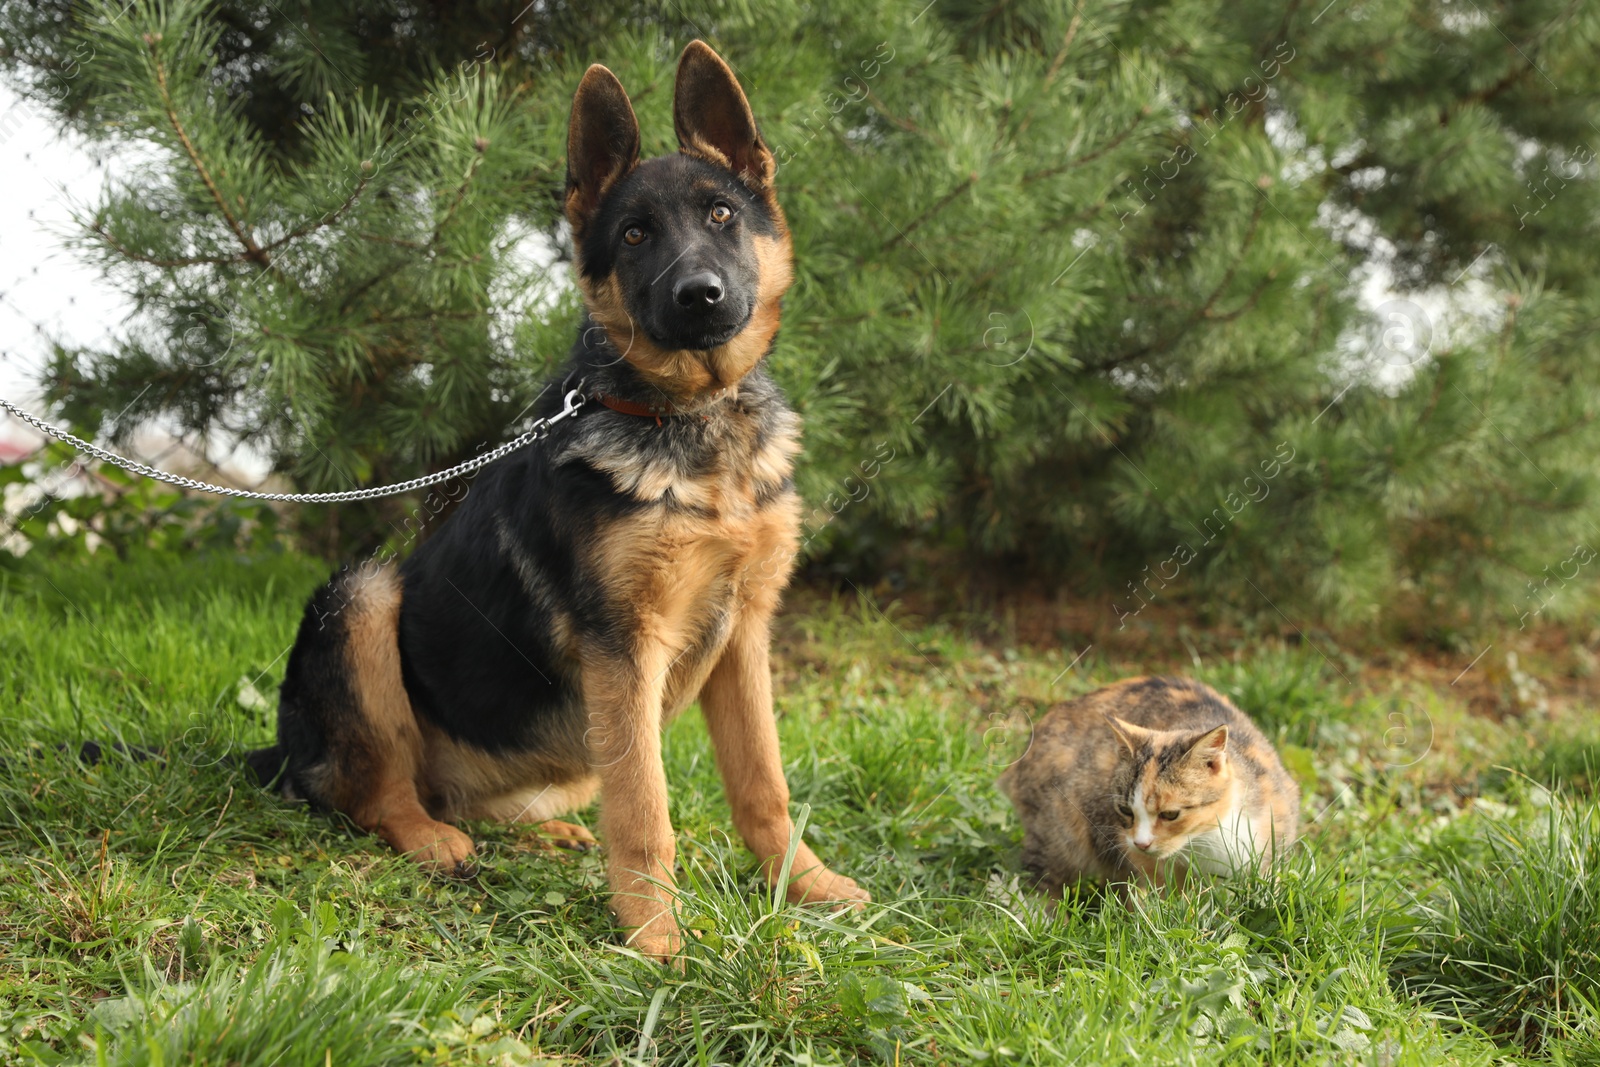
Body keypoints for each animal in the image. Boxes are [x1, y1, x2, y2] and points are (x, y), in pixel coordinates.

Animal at [251, 41, 870, 959]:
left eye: (722, 214)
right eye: (635, 235)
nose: (699, 296)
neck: (689, 421)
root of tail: (285, 752)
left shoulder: (745, 634)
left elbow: (764, 784)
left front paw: (807, 887)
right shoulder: (624, 647)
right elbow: (646, 808)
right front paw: (655, 936)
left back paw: (543, 832)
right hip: (360, 596)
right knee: (378, 795)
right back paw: (432, 839)